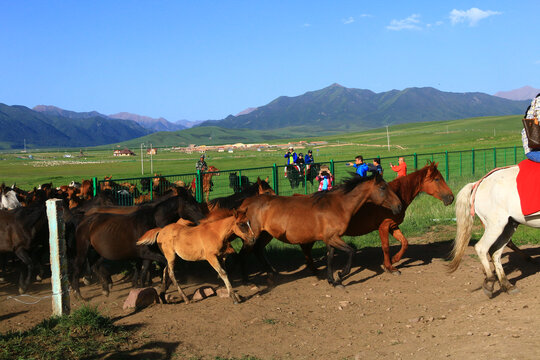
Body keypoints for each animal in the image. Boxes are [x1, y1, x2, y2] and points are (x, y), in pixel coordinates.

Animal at [238, 174, 402, 286]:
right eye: (383, 187)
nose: (399, 205)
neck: (338, 205)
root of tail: (247, 203)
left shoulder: (330, 239)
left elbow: (330, 258)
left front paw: (332, 281)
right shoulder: (333, 237)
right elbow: (351, 251)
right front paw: (341, 274)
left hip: (265, 235)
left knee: (257, 250)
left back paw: (271, 274)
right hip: (252, 236)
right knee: (243, 254)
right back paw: (247, 281)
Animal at [448, 166, 540, 298]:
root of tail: (478, 183)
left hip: (508, 227)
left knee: (495, 252)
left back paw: (507, 285)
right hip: (496, 225)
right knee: (482, 248)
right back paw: (491, 280)